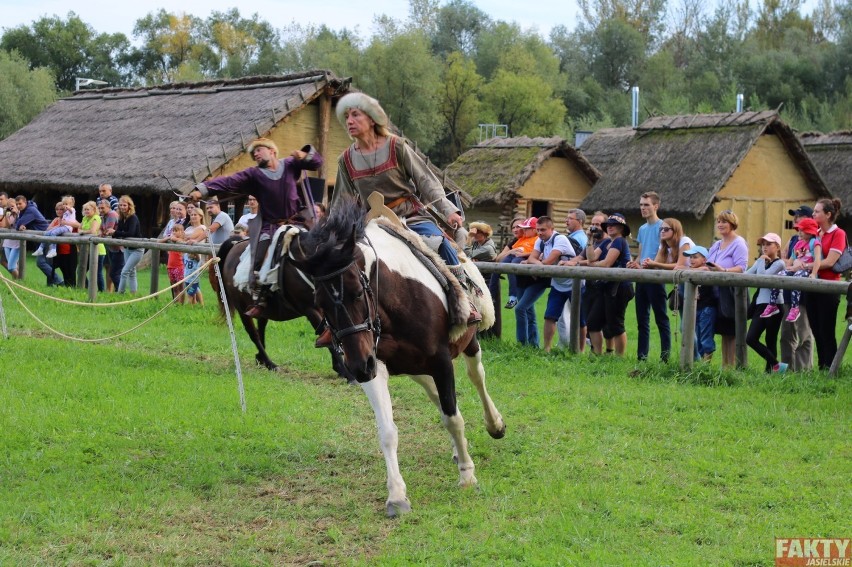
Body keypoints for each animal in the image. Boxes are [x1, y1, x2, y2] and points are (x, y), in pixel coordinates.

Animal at [290, 205, 510, 520]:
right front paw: (396, 495)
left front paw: (467, 476)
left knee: (476, 377)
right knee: (435, 394)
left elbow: (454, 419)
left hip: (468, 344)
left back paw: (494, 424)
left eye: (357, 291)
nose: (358, 366)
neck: (397, 300)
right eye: (320, 301)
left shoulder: (441, 361)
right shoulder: (376, 367)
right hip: (413, 367)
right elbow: (388, 431)